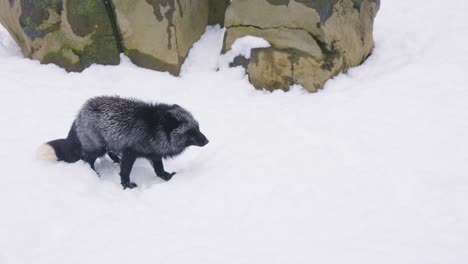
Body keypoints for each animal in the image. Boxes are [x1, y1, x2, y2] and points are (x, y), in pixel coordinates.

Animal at [37, 96, 209, 189]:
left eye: (198, 128)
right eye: (190, 131)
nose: (207, 141)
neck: (153, 128)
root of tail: (79, 113)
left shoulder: (153, 153)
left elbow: (159, 170)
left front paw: (166, 177)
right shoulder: (130, 152)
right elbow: (125, 172)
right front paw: (127, 186)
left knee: (109, 152)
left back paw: (115, 160)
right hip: (96, 148)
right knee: (87, 160)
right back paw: (93, 174)